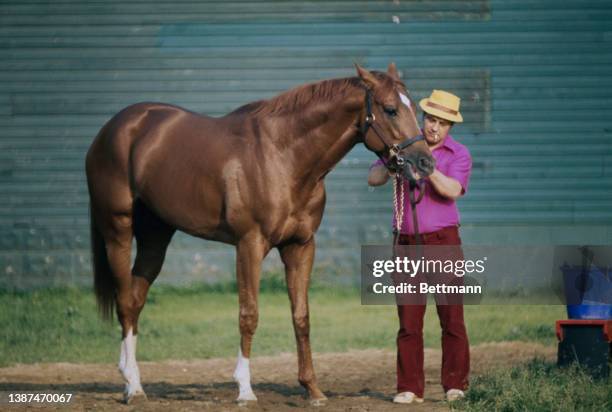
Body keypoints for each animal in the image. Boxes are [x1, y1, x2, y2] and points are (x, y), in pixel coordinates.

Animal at [86, 64, 432, 406]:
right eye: (390, 109)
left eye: (413, 107)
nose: (425, 162)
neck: (282, 157)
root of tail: (115, 128)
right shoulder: (249, 244)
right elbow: (249, 314)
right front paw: (244, 389)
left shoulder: (300, 246)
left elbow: (301, 316)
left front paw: (312, 389)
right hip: (118, 230)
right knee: (125, 301)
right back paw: (133, 387)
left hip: (156, 235)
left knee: (136, 298)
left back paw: (130, 378)